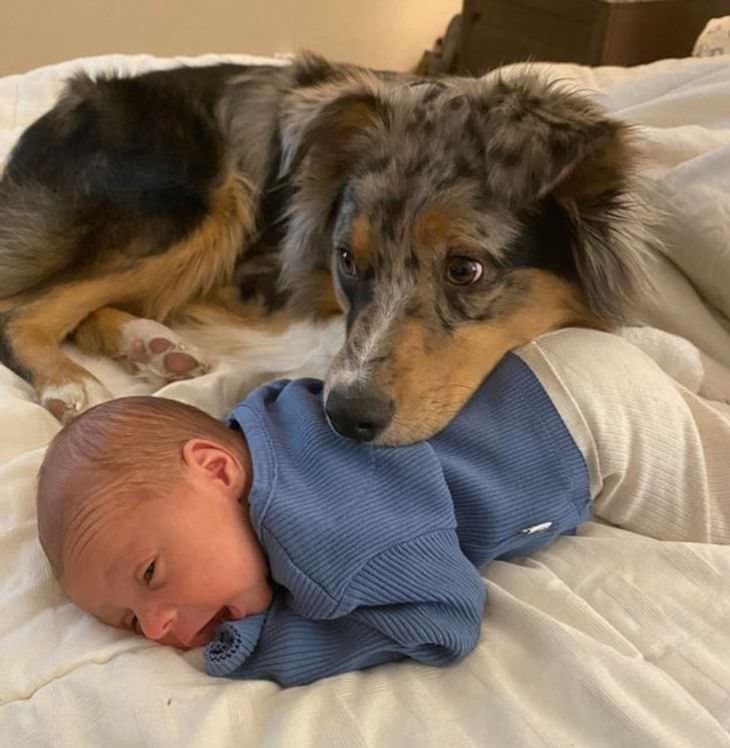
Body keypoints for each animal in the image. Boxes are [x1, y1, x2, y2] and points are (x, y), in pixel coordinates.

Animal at [0, 58, 652, 448]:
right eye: (346, 260)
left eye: (466, 269)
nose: (346, 417)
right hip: (196, 194)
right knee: (24, 309)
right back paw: (72, 386)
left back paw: (156, 348)